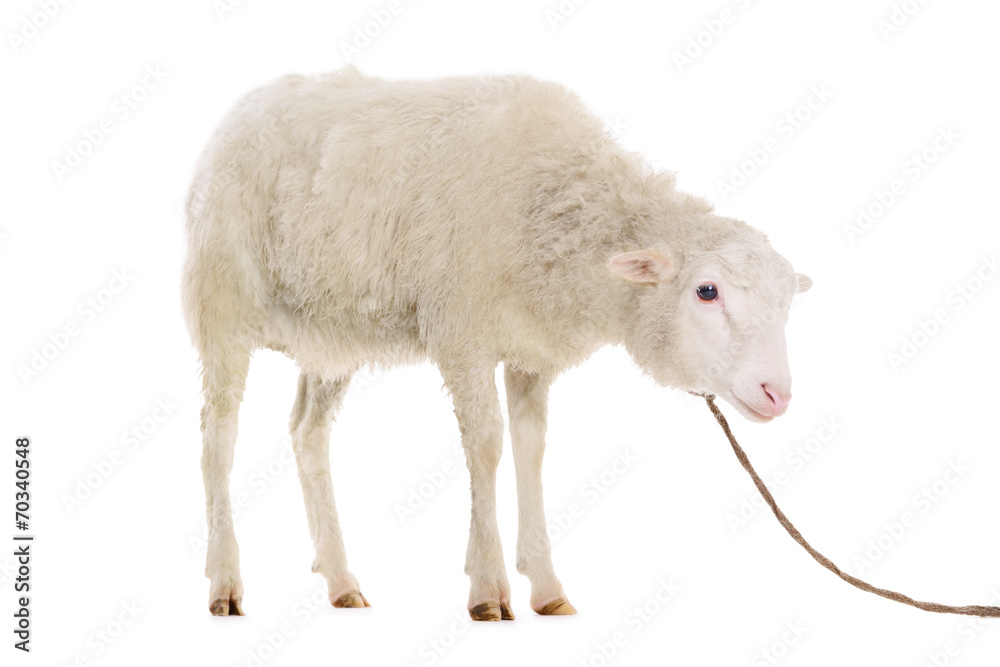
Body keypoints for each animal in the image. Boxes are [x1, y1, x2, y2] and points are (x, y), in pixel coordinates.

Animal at [182, 67, 812, 620]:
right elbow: (486, 445)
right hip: (222, 302)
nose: (776, 394)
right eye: (707, 291)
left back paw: (340, 581)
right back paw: (225, 583)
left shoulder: (530, 350)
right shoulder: (461, 333)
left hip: (330, 332)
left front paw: (548, 587)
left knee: (307, 433)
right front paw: (488, 589)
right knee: (218, 438)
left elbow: (531, 448)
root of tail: (246, 106)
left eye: (787, 305)